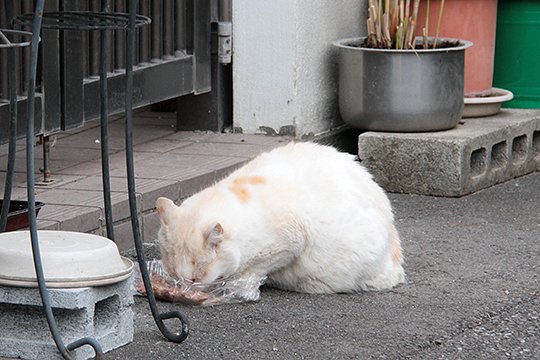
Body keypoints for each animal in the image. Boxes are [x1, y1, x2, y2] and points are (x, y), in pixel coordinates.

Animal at [154, 142, 402, 294]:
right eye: (173, 274)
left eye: (196, 278)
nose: (183, 288)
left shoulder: (290, 243)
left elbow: (258, 268)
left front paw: (240, 283)